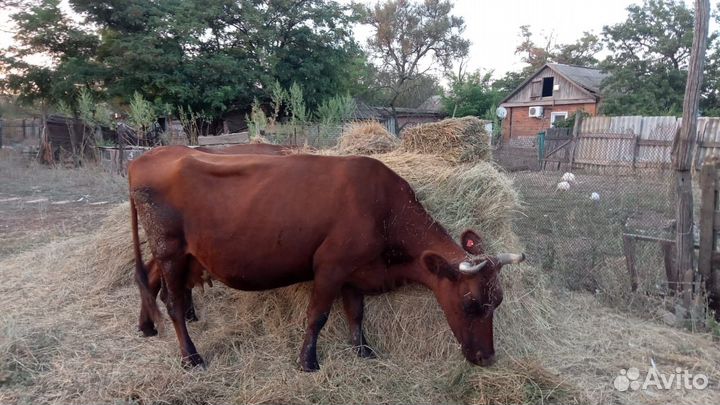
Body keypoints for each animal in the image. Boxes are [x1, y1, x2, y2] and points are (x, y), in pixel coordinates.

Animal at [129, 146, 525, 371]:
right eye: (471, 303)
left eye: (498, 302)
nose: (487, 358)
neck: (383, 209)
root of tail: (144, 158)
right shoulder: (330, 267)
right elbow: (317, 316)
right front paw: (307, 362)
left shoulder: (355, 271)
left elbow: (356, 312)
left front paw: (363, 350)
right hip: (170, 249)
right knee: (173, 302)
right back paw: (191, 357)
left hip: (181, 253)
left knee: (149, 278)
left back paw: (146, 327)